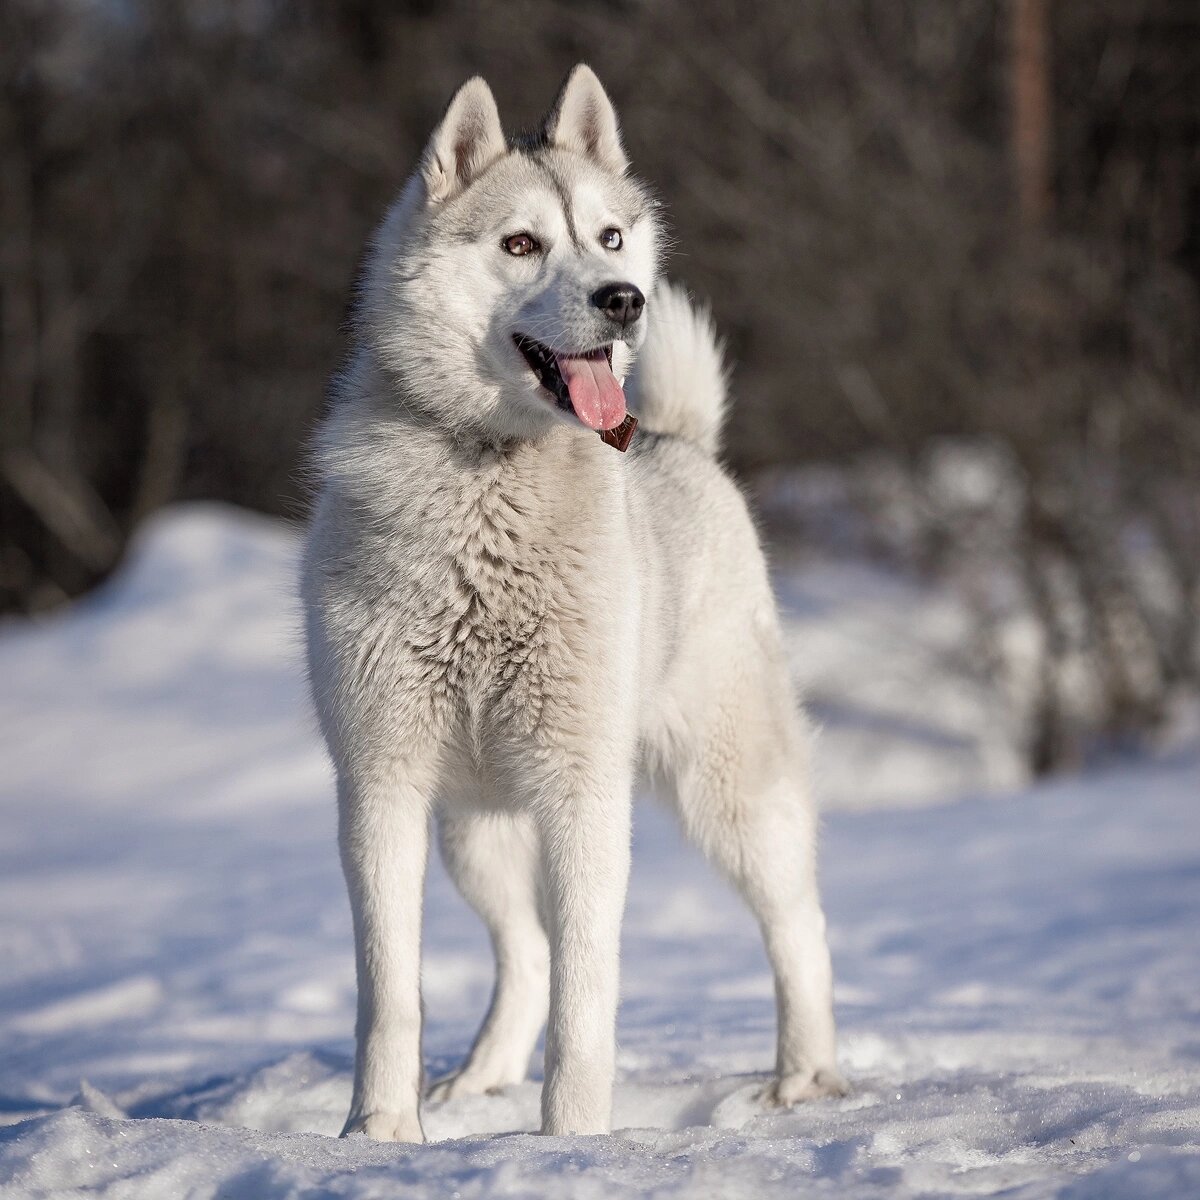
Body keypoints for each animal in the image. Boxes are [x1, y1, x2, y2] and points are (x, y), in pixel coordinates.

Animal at [300, 68, 844, 1142]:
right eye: (521, 244)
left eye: (608, 237)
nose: (624, 299)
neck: (490, 479)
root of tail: (680, 440)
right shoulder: (382, 788)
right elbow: (391, 993)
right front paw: (379, 1136)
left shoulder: (582, 793)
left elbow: (587, 998)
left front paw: (574, 1142)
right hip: (473, 830)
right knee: (526, 952)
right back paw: (476, 1083)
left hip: (728, 792)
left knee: (798, 924)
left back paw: (803, 1078)